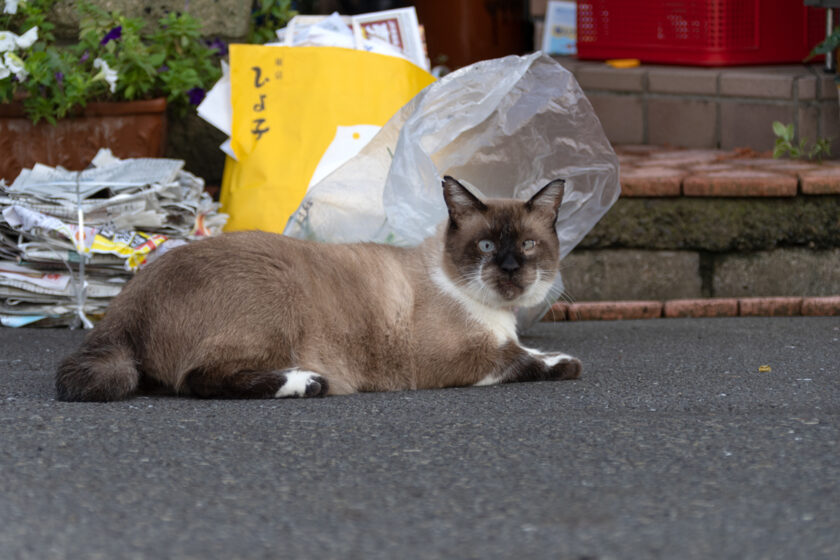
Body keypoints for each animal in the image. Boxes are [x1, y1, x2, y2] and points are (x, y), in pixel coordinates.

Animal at [55, 177, 580, 400]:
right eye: (487, 245)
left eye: (528, 245)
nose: (510, 269)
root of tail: (127, 298)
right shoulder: (454, 360)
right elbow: (523, 360)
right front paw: (563, 364)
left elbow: (526, 350)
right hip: (275, 294)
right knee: (196, 379)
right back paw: (306, 382)